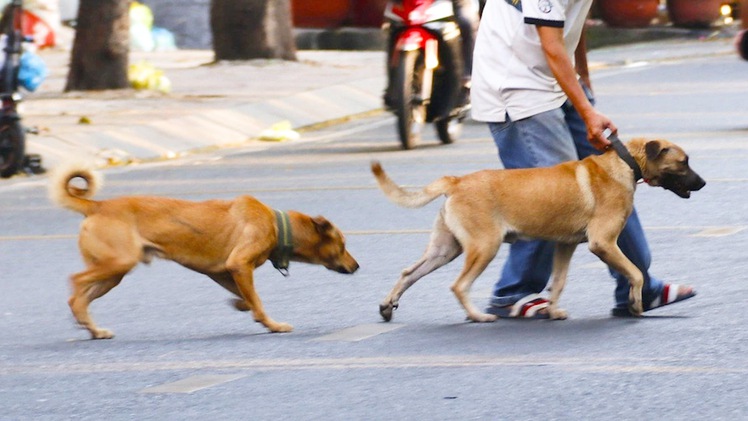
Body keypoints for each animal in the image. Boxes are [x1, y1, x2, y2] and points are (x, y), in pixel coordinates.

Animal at [49, 163, 360, 338]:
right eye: (343, 245)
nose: (357, 266)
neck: (276, 225)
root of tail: (97, 206)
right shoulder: (239, 264)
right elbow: (258, 301)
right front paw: (272, 324)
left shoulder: (223, 272)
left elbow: (247, 298)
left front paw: (242, 306)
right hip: (118, 262)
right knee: (75, 284)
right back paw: (82, 318)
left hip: (113, 274)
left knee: (79, 298)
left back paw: (93, 329)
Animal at [374, 138, 708, 322]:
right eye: (684, 162)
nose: (704, 183)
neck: (625, 163)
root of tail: (455, 181)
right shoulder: (602, 243)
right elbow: (636, 272)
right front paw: (636, 303)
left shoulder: (565, 245)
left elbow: (557, 282)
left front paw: (554, 311)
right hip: (484, 247)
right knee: (459, 286)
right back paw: (478, 316)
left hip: (445, 250)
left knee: (409, 273)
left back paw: (388, 305)